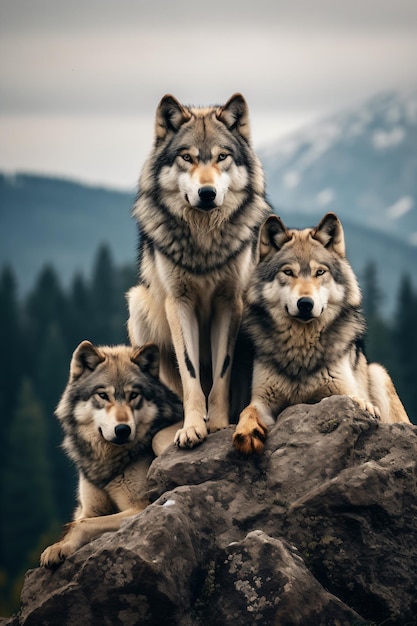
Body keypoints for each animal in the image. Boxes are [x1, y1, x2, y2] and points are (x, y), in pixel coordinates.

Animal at [40, 338, 182, 568]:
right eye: (103, 395)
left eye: (134, 395)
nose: (122, 429)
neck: (106, 460)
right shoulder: (89, 508)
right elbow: (76, 522)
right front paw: (58, 546)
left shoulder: (140, 507)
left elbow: (81, 524)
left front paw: (59, 548)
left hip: (161, 440)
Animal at [127, 91, 270, 448]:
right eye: (186, 158)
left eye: (222, 157)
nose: (207, 193)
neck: (204, 241)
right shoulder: (179, 303)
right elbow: (191, 372)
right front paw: (193, 427)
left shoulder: (229, 303)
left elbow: (221, 371)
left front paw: (217, 423)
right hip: (138, 305)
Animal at [232, 211, 412, 454]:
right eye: (288, 272)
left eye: (320, 272)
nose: (305, 304)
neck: (301, 347)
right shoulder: (263, 399)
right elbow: (248, 410)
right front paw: (246, 432)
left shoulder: (339, 391)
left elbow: (353, 398)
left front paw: (364, 405)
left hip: (378, 372)